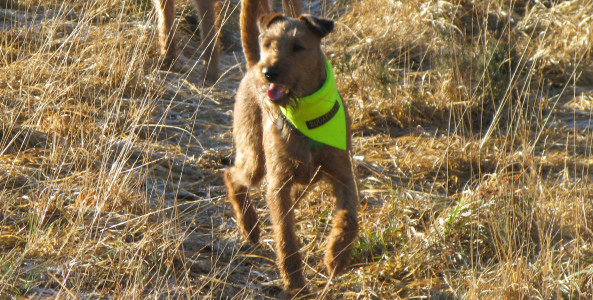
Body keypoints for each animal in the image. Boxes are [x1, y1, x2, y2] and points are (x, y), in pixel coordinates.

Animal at [224, 0, 358, 296]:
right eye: (269, 44)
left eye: (298, 47)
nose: (269, 73)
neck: (307, 116)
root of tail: (252, 64)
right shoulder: (279, 184)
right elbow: (286, 238)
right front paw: (296, 284)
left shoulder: (343, 174)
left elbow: (349, 219)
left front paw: (337, 256)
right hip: (256, 161)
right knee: (231, 175)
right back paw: (249, 227)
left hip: (299, 180)